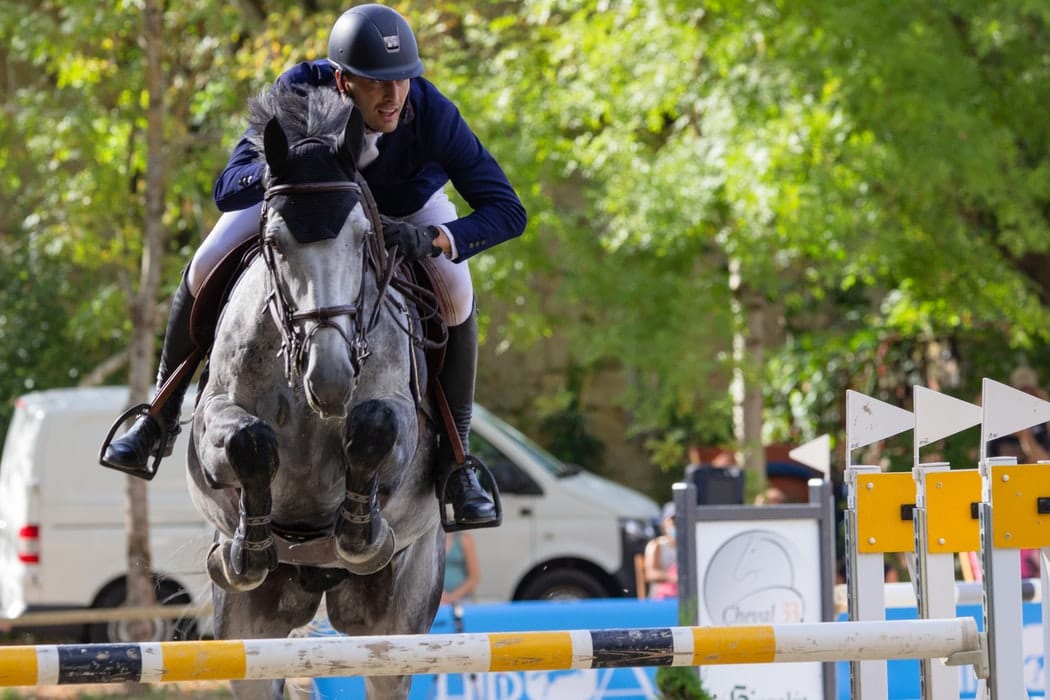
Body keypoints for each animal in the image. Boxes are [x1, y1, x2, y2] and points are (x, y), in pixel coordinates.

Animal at [186, 83, 445, 700]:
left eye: (363, 237)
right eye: (275, 242)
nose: (330, 380)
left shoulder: (402, 420)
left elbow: (374, 426)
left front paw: (358, 530)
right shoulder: (212, 421)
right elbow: (249, 441)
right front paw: (249, 545)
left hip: (396, 627)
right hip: (250, 629)